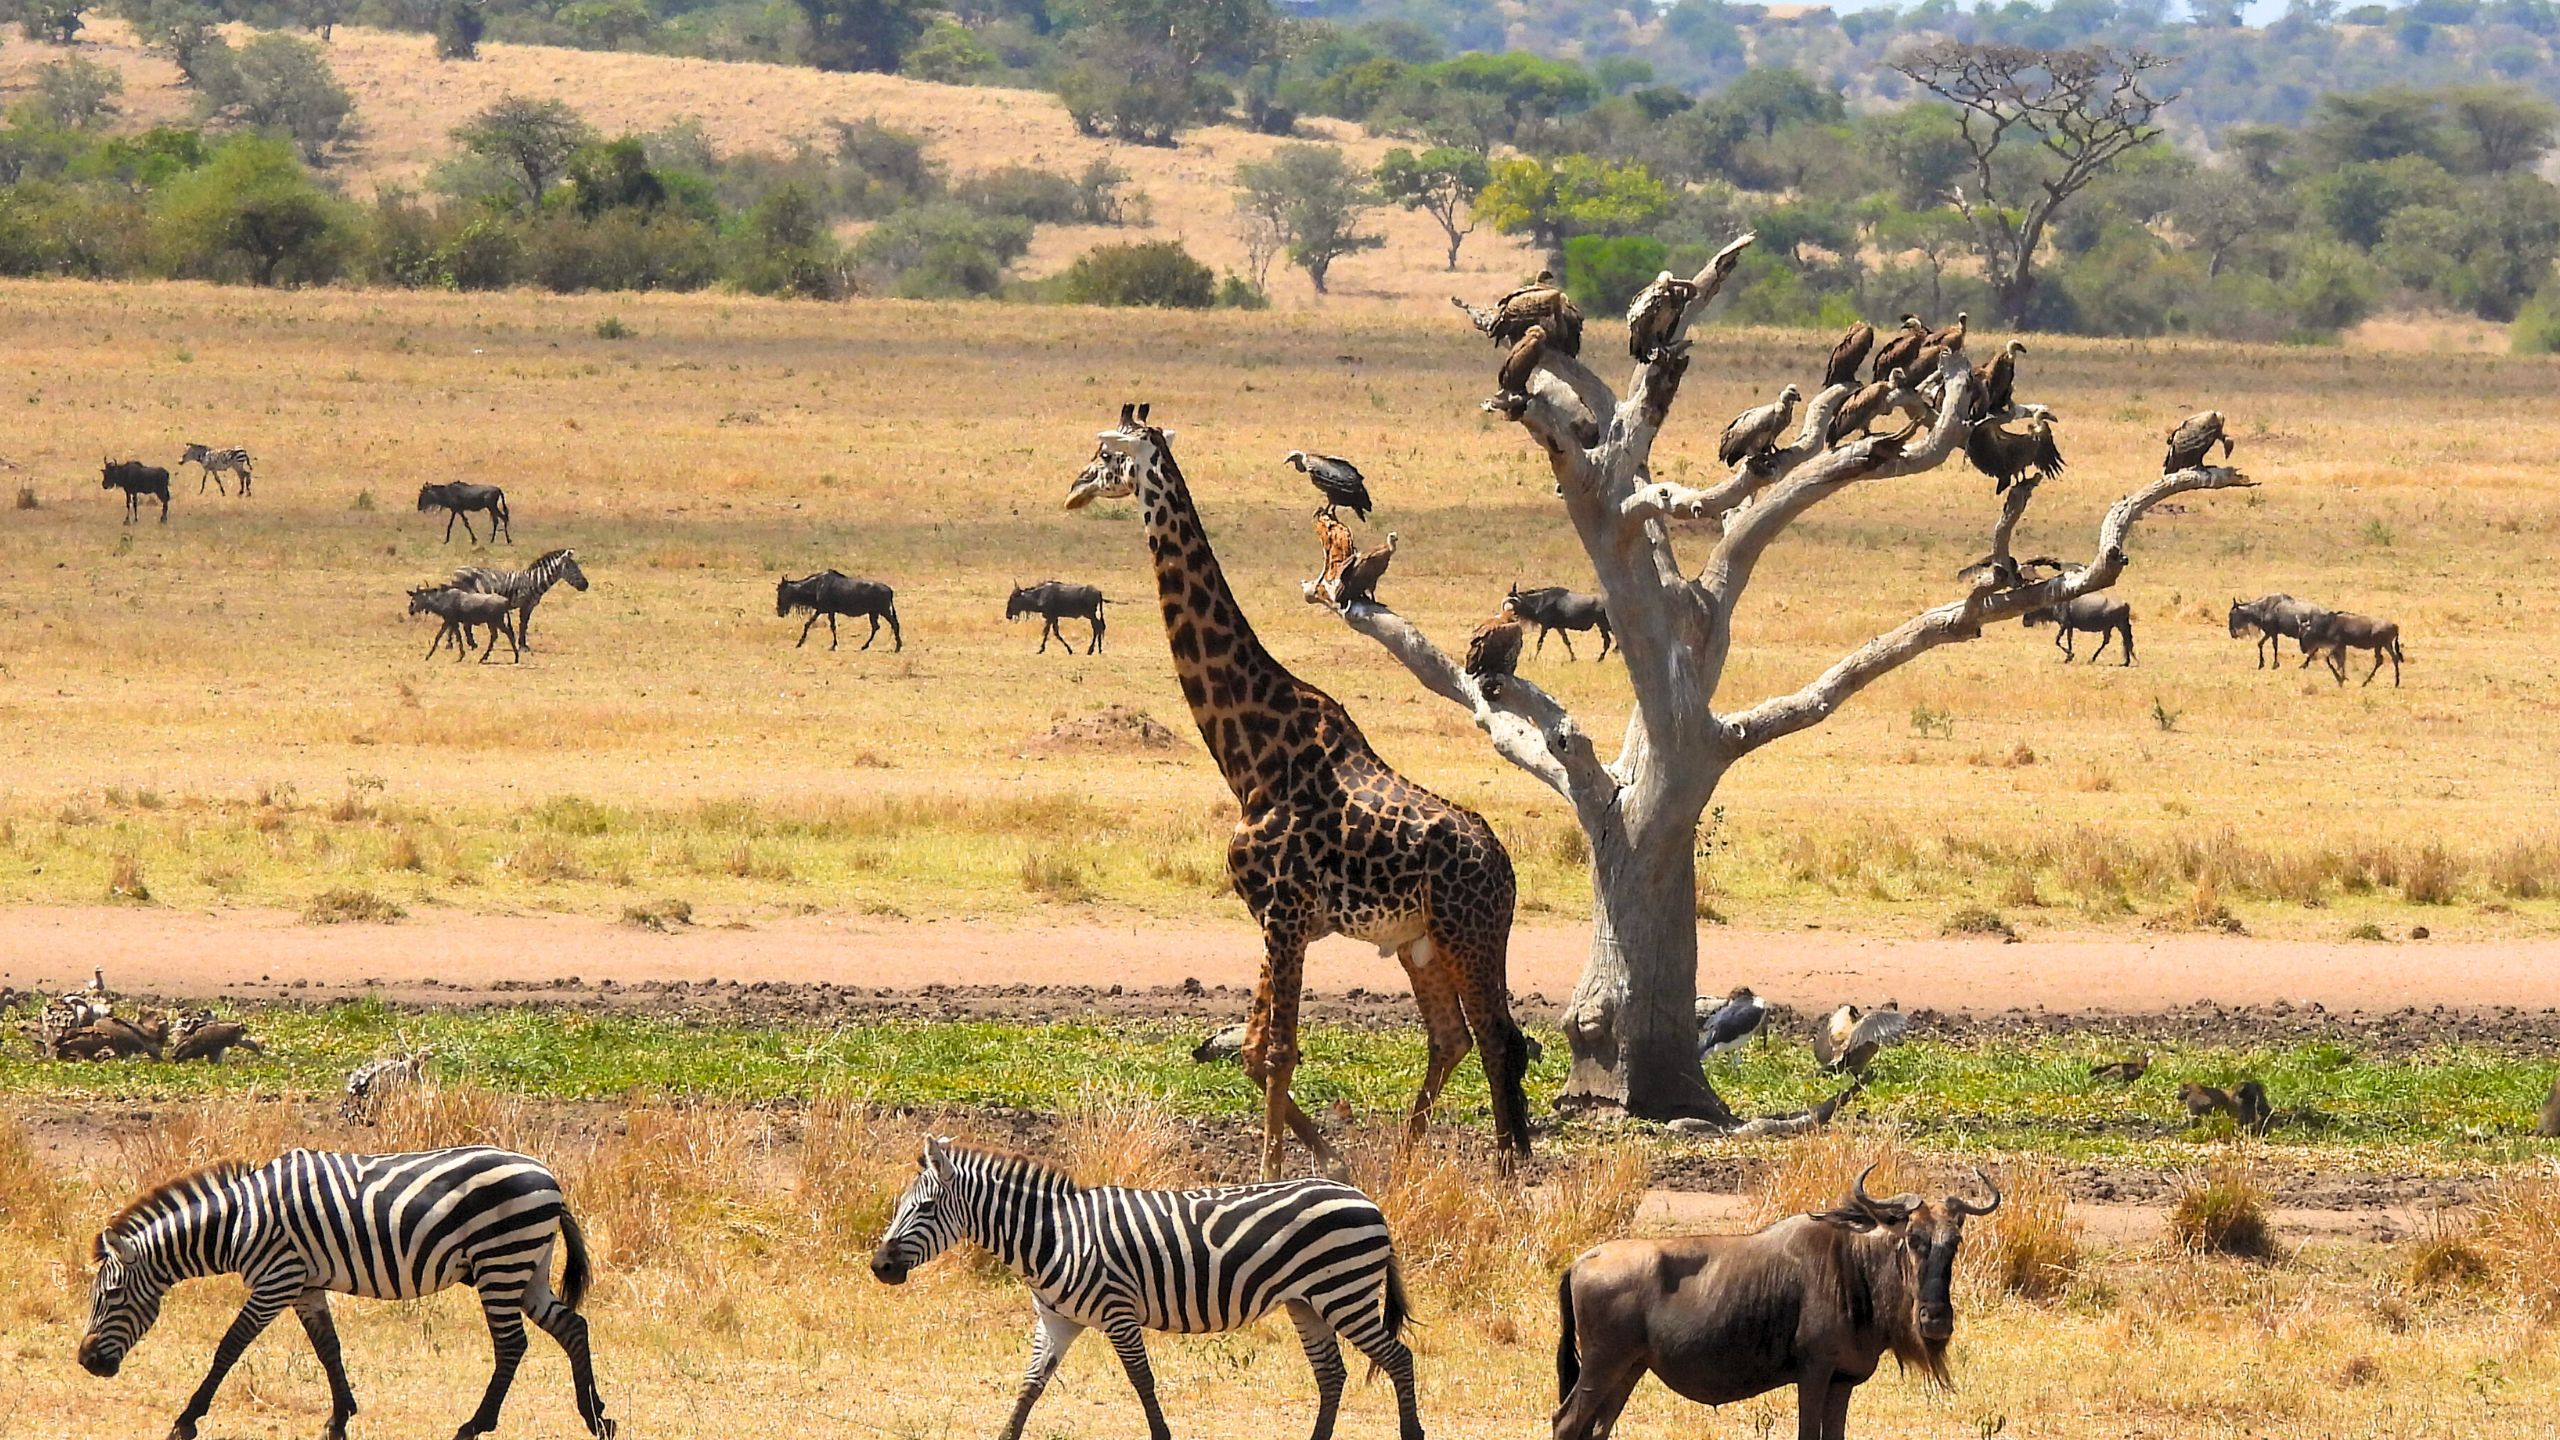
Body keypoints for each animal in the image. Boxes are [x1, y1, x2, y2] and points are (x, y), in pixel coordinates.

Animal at [78, 1147, 616, 1440]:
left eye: (112, 1295)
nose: (86, 1362)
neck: (237, 1223)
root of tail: (548, 1178)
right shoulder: (304, 1285)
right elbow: (328, 1348)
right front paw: (339, 1419)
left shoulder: (275, 1280)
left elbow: (228, 1348)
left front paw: (186, 1420)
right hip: (527, 1267)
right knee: (572, 1326)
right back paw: (597, 1418)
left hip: (500, 1260)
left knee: (511, 1346)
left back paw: (472, 1426)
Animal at [451, 548, 590, 648]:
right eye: (572, 568)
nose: (586, 585)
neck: (534, 581)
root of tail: (456, 570)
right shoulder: (525, 604)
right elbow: (523, 625)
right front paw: (523, 646)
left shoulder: (530, 606)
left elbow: (525, 624)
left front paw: (523, 644)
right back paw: (471, 644)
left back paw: (471, 644)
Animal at [871, 1138, 1425, 1440]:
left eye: (924, 1209)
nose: (879, 1267)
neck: (1054, 1235)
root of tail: (1365, 1199)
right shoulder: (1056, 1319)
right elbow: (1030, 1385)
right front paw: (1006, 1434)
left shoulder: (1117, 1312)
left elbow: (1142, 1382)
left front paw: (1162, 1435)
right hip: (1306, 1302)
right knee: (1332, 1375)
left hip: (1344, 1293)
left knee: (1398, 1359)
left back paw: (1411, 1434)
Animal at [1068, 403, 1533, 1181]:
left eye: (1106, 456)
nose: (1073, 488)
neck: (1250, 755)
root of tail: (1505, 867)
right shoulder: (1271, 917)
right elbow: (1256, 1051)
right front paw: (1335, 1164)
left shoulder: (1285, 916)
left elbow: (1280, 1050)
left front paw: (1271, 1176)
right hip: (1420, 942)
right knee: (1452, 1037)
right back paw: (1404, 1165)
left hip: (1470, 932)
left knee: (1498, 1038)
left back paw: (1507, 1175)